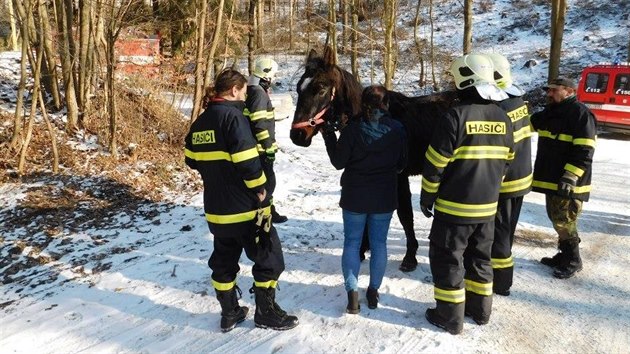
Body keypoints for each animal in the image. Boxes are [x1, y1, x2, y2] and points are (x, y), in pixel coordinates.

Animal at [292, 47, 460, 272]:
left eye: (320, 89)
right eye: (299, 88)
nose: (297, 135)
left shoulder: (398, 178)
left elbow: (405, 215)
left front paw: (410, 256)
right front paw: (363, 248)